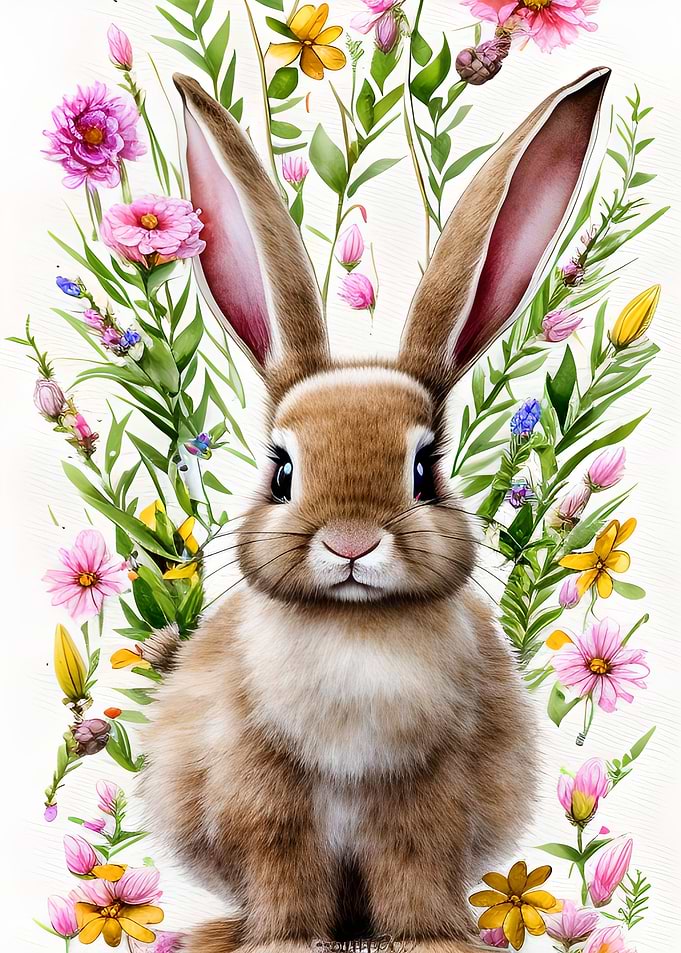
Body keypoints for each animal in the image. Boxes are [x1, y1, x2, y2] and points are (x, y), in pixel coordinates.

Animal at [140, 67, 611, 953]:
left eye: (424, 470)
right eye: (282, 470)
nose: (352, 542)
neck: (355, 627)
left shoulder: (425, 800)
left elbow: (413, 867)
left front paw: (432, 939)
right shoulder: (265, 801)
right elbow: (284, 871)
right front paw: (285, 941)